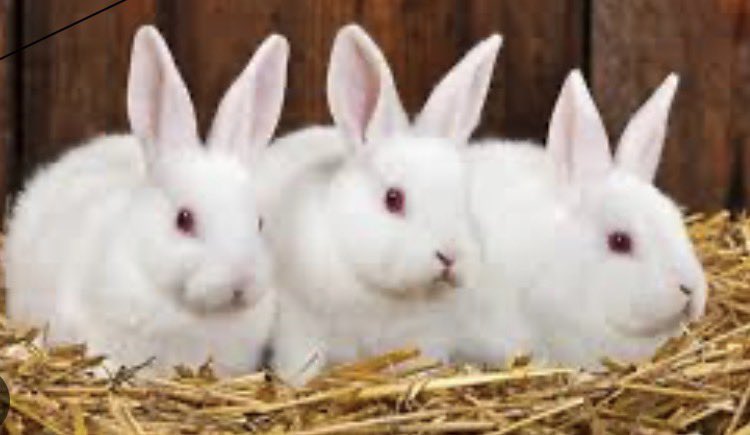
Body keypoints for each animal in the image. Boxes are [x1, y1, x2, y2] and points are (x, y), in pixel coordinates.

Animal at [262, 24, 502, 385]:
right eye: (393, 199)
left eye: (463, 197)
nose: (449, 256)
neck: (382, 292)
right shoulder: (299, 322)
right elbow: (300, 366)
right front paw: (295, 386)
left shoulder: (425, 338)